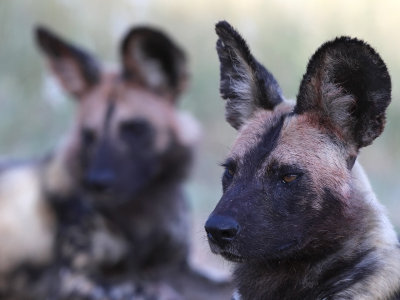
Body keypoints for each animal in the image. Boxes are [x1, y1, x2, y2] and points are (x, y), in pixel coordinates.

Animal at [0, 25, 233, 300]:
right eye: (89, 134)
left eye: (135, 128)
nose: (97, 183)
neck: (141, 207)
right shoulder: (76, 280)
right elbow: (150, 291)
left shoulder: (176, 268)